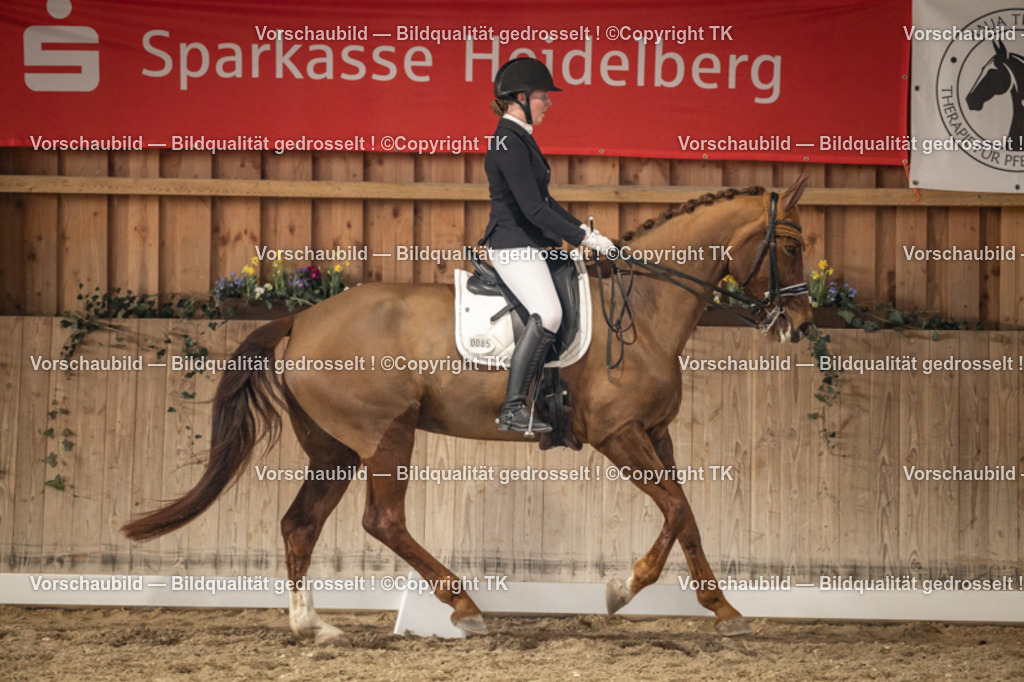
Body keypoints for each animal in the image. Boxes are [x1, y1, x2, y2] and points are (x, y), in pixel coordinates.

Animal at [122, 174, 814, 644]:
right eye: (789, 246)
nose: (803, 325)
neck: (643, 310)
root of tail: (301, 319)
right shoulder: (620, 435)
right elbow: (673, 509)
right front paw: (622, 588)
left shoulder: (655, 434)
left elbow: (687, 514)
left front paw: (724, 610)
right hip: (386, 436)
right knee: (382, 521)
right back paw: (463, 606)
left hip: (335, 448)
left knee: (300, 524)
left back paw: (313, 626)